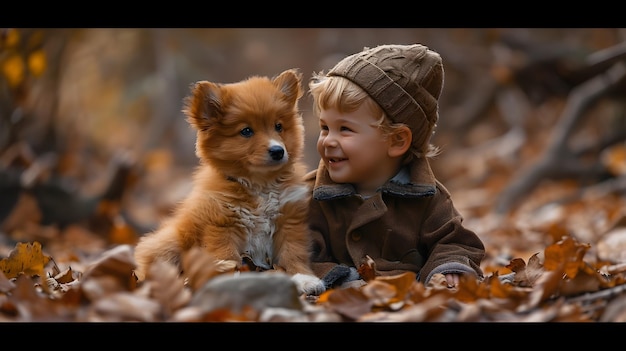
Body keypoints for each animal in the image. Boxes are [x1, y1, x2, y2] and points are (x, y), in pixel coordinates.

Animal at [134, 69, 324, 296]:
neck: (260, 185)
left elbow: (293, 254)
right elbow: (227, 259)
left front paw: (304, 278)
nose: (278, 151)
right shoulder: (222, 227)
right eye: (246, 131)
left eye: (278, 127)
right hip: (171, 243)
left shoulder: (289, 222)